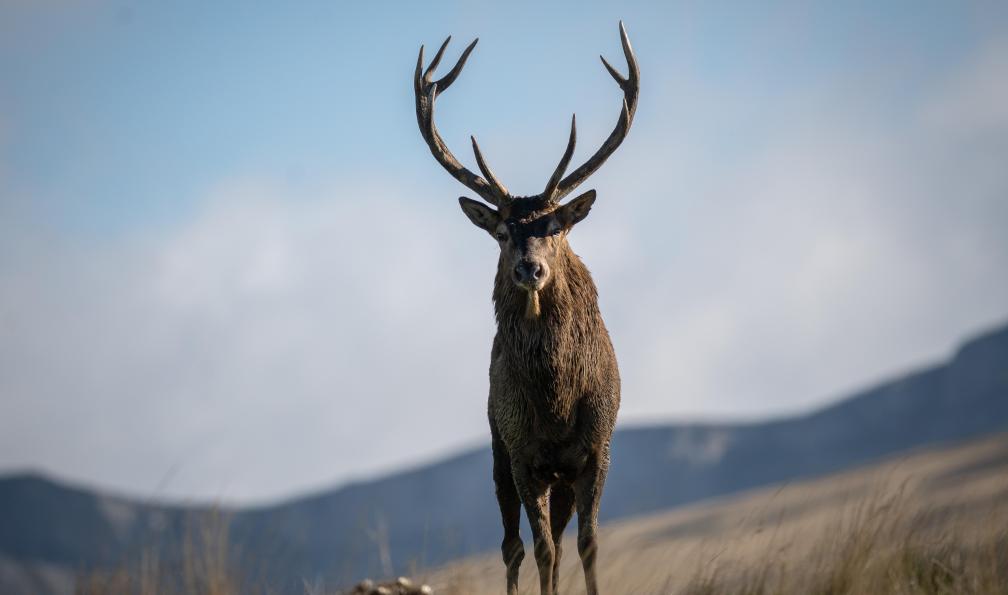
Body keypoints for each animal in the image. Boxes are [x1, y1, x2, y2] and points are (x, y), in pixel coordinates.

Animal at [413, 22, 639, 595]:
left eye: (555, 227)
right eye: (501, 232)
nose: (529, 270)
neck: (556, 401)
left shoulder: (598, 449)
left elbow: (587, 545)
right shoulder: (522, 453)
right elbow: (538, 550)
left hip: (561, 477)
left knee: (554, 541)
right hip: (499, 450)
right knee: (514, 547)